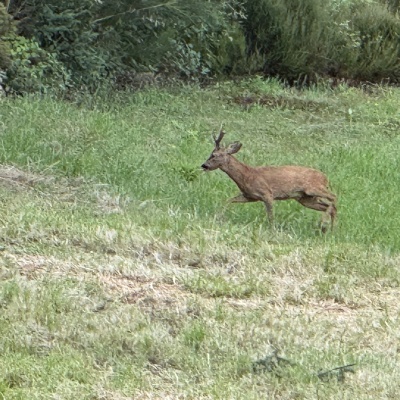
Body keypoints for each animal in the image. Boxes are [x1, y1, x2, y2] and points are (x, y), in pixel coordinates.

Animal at [202, 130, 336, 231]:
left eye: (215, 155)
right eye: (210, 154)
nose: (204, 165)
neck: (247, 175)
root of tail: (325, 178)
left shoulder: (267, 193)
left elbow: (271, 216)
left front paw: (272, 230)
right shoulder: (249, 196)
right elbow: (228, 200)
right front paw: (218, 217)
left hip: (312, 188)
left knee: (333, 198)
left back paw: (325, 226)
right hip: (305, 198)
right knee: (328, 206)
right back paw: (330, 230)